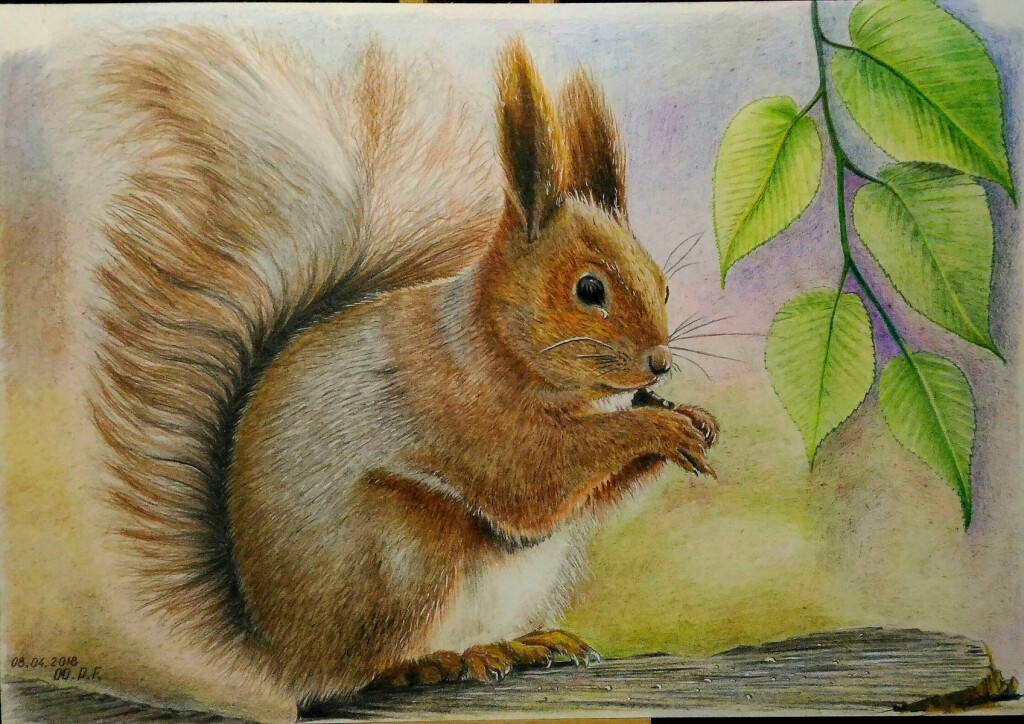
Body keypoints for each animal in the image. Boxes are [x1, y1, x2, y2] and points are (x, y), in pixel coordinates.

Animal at [89, 27, 719, 711]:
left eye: (662, 284)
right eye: (588, 289)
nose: (659, 363)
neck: (494, 343)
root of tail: (281, 654)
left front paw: (694, 419)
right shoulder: (466, 415)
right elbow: (536, 482)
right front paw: (659, 428)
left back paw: (525, 643)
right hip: (403, 553)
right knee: (365, 669)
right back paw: (436, 661)